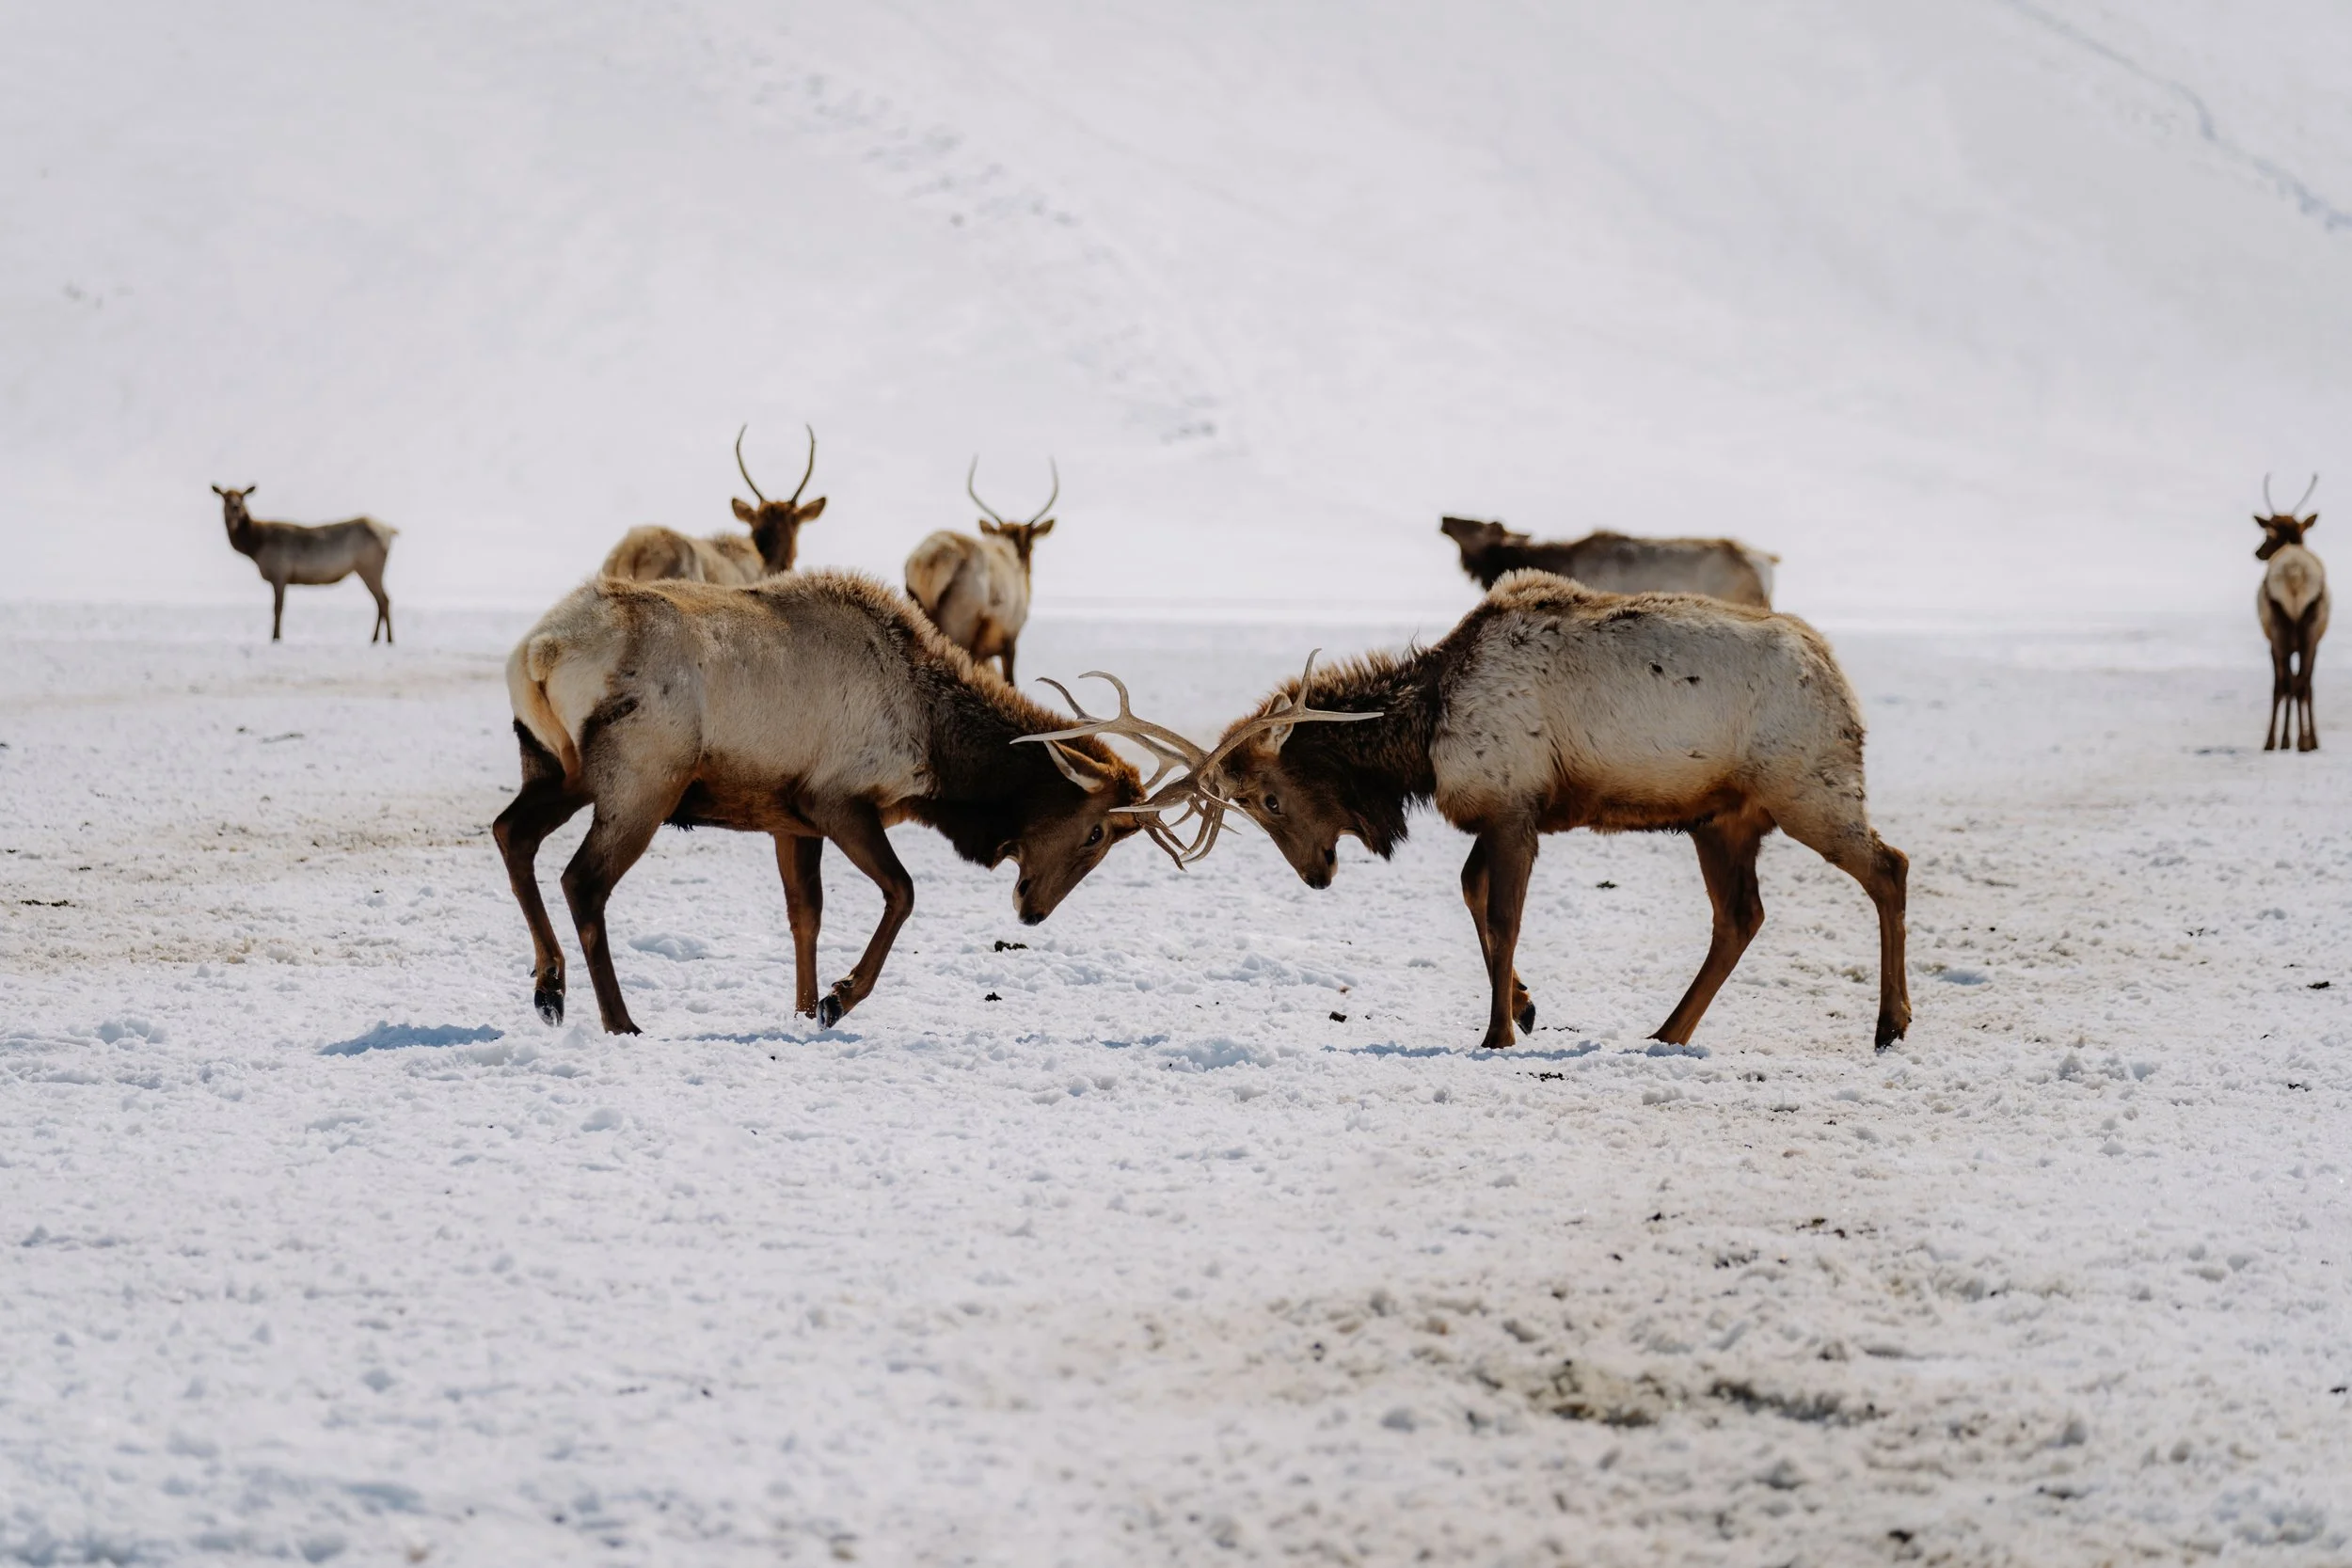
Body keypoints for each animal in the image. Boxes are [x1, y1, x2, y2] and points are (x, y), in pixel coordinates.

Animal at [210, 484, 398, 643]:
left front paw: (275, 637)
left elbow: (277, 608)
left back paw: (388, 639)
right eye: (225, 497)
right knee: (381, 601)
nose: (235, 507)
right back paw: (376, 639)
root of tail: (391, 531)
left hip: (370, 567)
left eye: (242, 497)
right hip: (367, 569)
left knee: (384, 600)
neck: (254, 547)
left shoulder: (279, 573)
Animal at [493, 568, 1180, 1035]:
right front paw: (836, 999)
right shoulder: (835, 799)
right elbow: (902, 891)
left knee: (511, 834)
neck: (937, 744)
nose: (1032, 910)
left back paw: (550, 990)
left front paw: (802, 1008)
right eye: (1095, 832)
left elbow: (806, 914)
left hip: (556, 769)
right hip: (643, 780)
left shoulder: (788, 818)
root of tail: (539, 652)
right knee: (582, 879)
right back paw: (619, 1019)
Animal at [1050, 569, 1909, 1054]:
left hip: (1809, 788)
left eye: (1268, 796)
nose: (1317, 873)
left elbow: (1501, 915)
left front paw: (1496, 1030)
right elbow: (1473, 898)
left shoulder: (1515, 809)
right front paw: (1524, 1007)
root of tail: (1841, 682)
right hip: (1719, 819)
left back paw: (1890, 1022)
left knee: (1889, 867)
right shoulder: (1497, 813)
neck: (1422, 735)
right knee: (1741, 916)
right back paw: (1669, 1031)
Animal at [2254, 473, 2329, 752]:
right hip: (2308, 628)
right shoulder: (2315, 642)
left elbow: (2283, 685)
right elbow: (2305, 684)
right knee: (2301, 683)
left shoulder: (2272, 642)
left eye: (2268, 535)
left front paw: (2279, 740)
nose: (2258, 552)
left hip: (2280, 630)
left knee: (2287, 684)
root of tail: (2295, 573)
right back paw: (2304, 741)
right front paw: (2309, 739)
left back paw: (2280, 740)